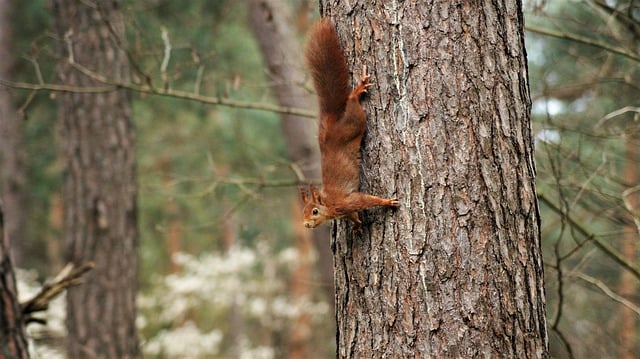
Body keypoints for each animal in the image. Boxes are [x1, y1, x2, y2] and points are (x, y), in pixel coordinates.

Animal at [298, 19, 398, 231]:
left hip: (354, 123)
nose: (306, 225)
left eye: (315, 211)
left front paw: (386, 202)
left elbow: (365, 201)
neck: (329, 204)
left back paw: (357, 91)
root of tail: (329, 129)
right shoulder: (344, 210)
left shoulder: (346, 202)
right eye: (303, 211)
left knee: (352, 104)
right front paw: (358, 226)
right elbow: (352, 216)